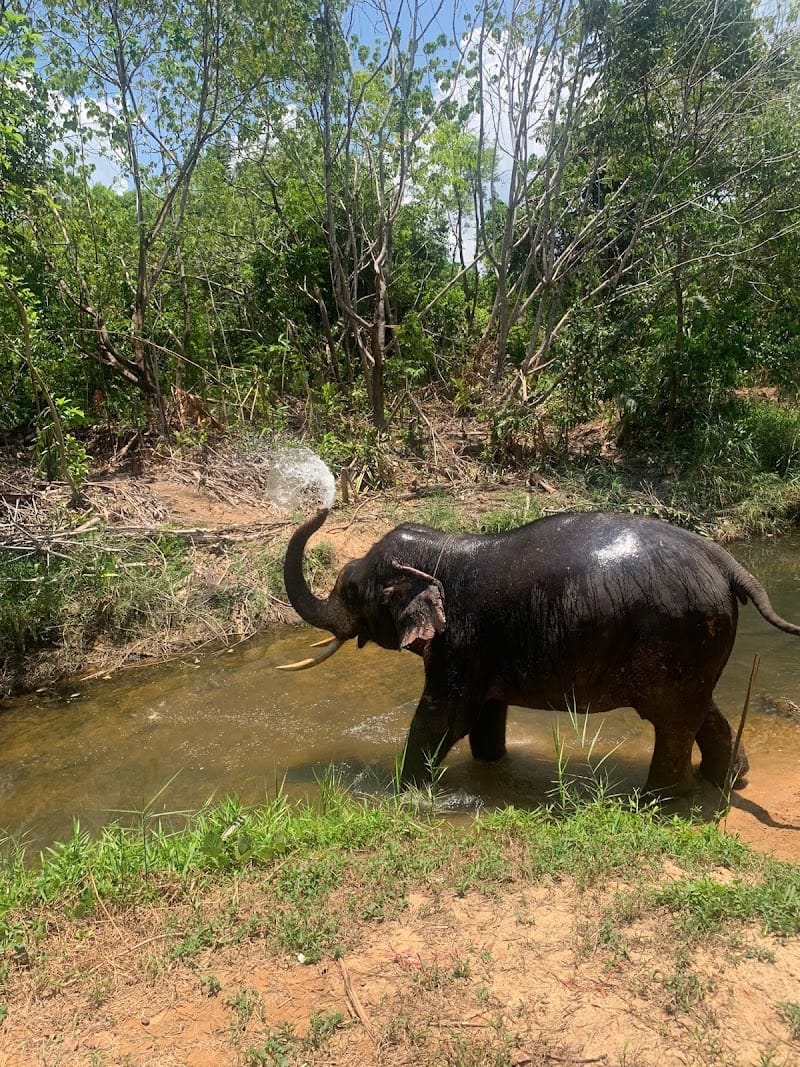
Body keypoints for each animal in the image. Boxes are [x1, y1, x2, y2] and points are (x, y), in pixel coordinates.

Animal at [277, 505, 800, 793]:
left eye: (349, 591)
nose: (324, 506)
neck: (443, 549)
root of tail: (726, 560)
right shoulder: (484, 646)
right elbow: (485, 714)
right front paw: (490, 768)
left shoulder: (459, 639)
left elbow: (445, 716)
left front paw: (400, 791)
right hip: (695, 640)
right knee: (699, 707)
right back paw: (728, 781)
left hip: (678, 633)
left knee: (672, 719)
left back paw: (660, 799)